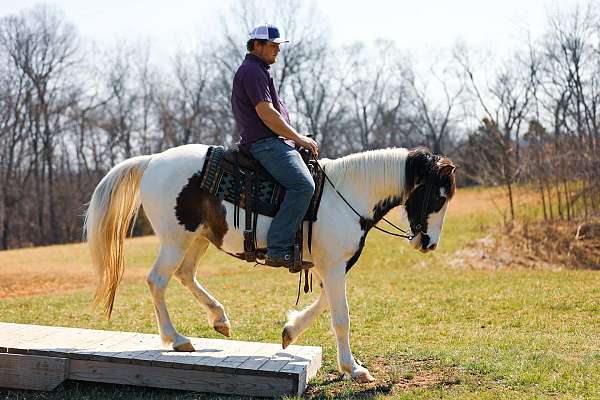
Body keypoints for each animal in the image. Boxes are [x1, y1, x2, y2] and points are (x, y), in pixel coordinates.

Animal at [85, 145, 454, 382]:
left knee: (185, 275)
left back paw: (219, 320)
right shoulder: (334, 266)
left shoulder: (330, 266)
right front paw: (354, 369)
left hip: (199, 238)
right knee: (157, 281)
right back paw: (177, 339)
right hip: (176, 240)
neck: (348, 195)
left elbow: (323, 303)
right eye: (438, 197)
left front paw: (290, 332)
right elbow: (341, 318)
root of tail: (151, 162)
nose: (429, 243)